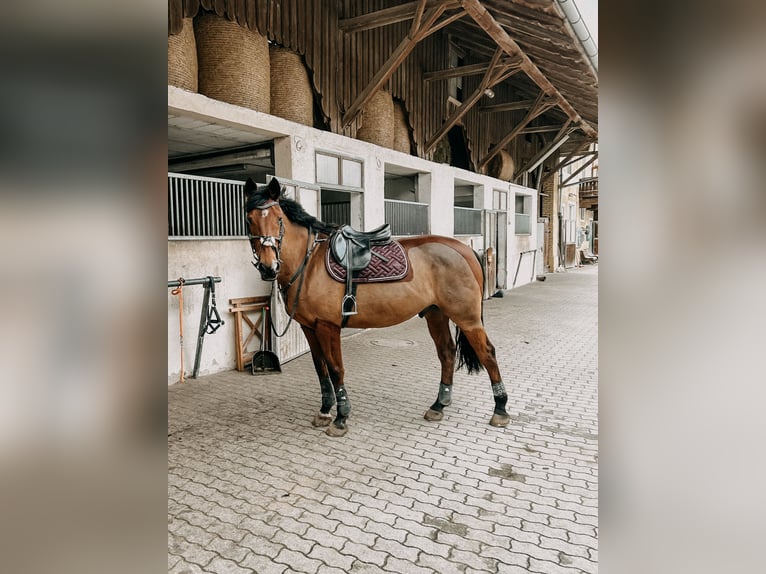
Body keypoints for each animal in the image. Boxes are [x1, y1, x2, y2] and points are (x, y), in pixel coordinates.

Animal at [244, 177, 510, 437]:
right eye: (249, 220)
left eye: (279, 219)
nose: (268, 267)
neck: (309, 264)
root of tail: (463, 250)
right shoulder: (309, 327)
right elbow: (320, 369)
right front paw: (324, 411)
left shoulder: (328, 327)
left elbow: (336, 369)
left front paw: (341, 418)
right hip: (436, 314)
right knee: (446, 352)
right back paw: (438, 406)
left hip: (467, 318)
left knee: (488, 353)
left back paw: (500, 409)